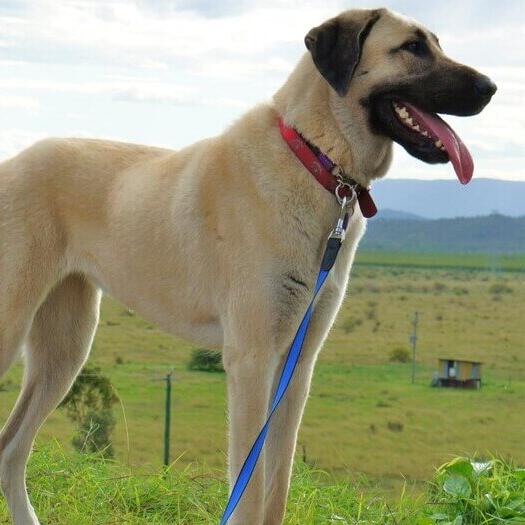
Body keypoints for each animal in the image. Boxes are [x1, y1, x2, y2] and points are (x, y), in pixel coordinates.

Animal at [0, 8, 494, 524]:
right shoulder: (251, 361)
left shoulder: (296, 368)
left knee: (11, 448)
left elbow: (277, 485)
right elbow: (250, 489)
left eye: (436, 43)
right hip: (14, 327)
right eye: (412, 47)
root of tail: (11, 163)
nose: (492, 88)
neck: (316, 158)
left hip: (66, 349)